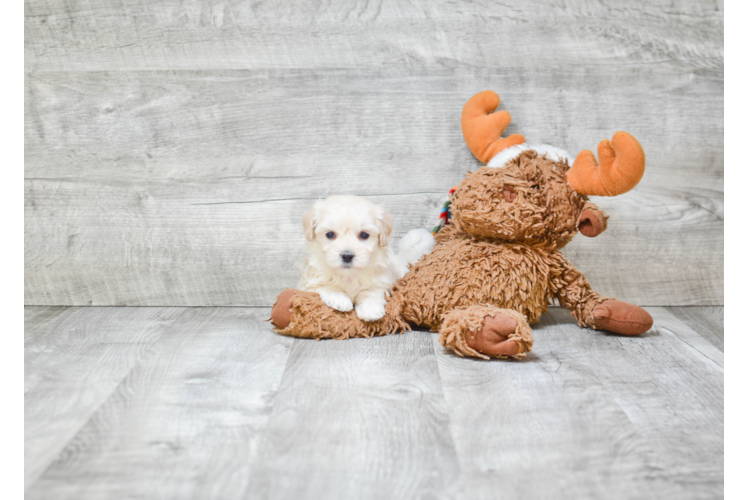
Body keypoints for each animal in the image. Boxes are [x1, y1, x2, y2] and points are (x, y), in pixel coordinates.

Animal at [296, 193, 432, 322]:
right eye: (330, 234)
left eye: (364, 235)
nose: (347, 255)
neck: (348, 275)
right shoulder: (308, 284)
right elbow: (325, 286)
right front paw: (339, 299)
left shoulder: (381, 282)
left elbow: (370, 292)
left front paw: (371, 310)